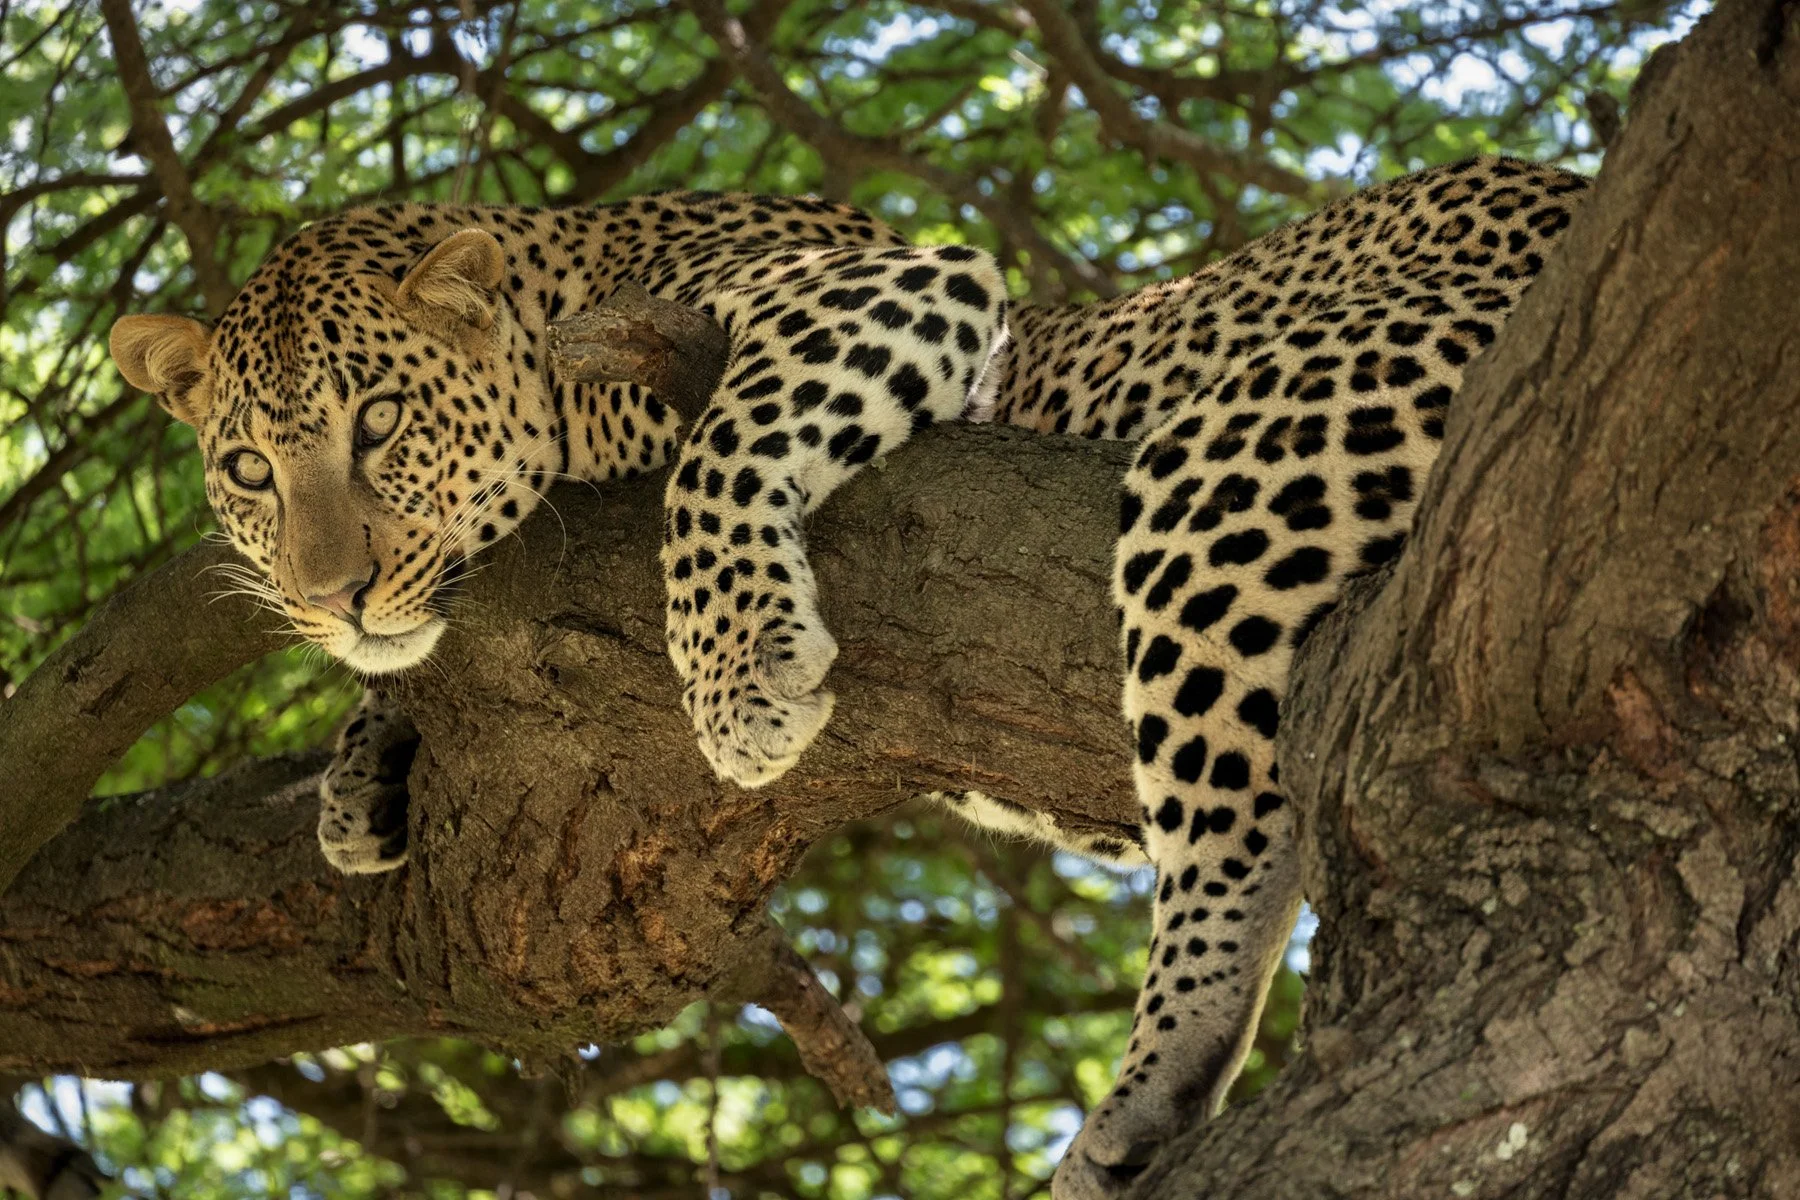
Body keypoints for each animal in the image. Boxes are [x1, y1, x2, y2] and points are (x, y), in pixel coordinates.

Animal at [108, 156, 1588, 1199]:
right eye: (248, 470)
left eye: (381, 424)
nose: (329, 595)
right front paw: (364, 765)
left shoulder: (878, 287)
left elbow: (716, 451)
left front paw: (740, 668)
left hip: (1232, 462)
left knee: (1236, 833)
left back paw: (1148, 1090)